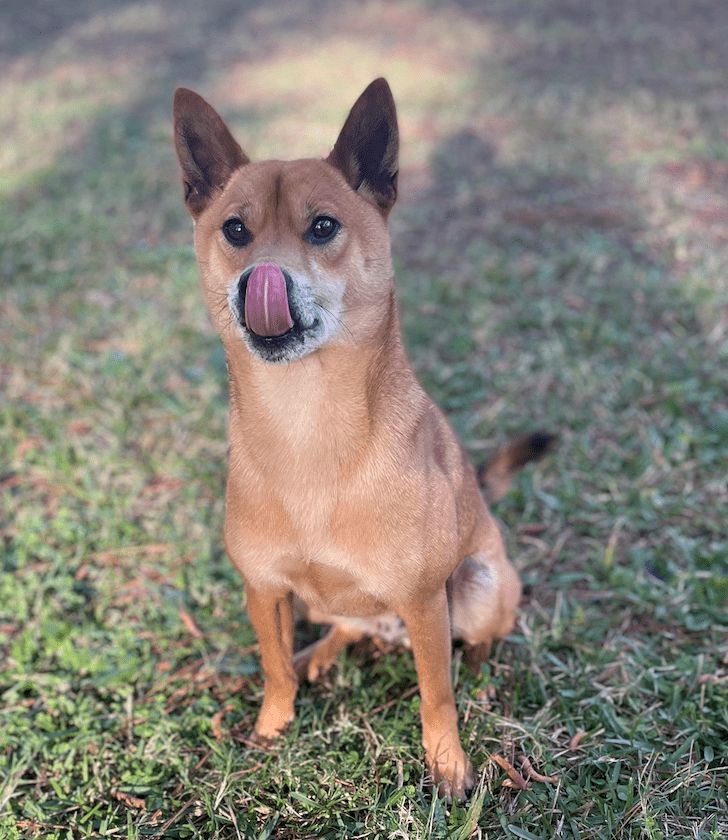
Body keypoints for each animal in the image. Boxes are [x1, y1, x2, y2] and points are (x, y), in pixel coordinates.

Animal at [173, 79, 556, 800]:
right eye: (235, 230)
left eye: (323, 226)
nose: (257, 281)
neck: (306, 423)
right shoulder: (264, 590)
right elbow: (273, 670)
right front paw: (272, 729)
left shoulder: (425, 603)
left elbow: (437, 695)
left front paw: (448, 764)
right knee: (342, 628)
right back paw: (319, 653)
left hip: (478, 580)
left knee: (479, 639)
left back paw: (484, 674)